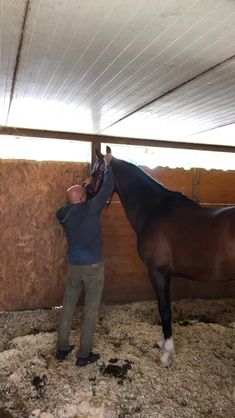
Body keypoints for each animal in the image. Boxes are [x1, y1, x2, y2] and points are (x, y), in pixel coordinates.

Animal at [92, 147, 234, 366]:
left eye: (94, 174)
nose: (85, 194)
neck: (155, 209)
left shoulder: (158, 272)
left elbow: (164, 311)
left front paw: (166, 353)